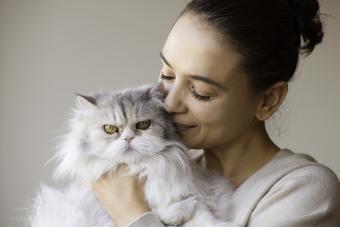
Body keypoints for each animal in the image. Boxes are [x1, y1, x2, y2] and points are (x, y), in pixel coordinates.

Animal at [28, 84, 234, 227]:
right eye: (110, 129)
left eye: (143, 125)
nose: (128, 138)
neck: (140, 170)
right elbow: (169, 211)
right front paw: (176, 213)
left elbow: (203, 216)